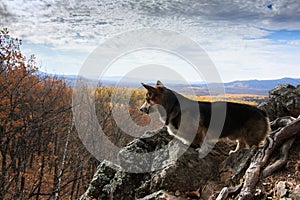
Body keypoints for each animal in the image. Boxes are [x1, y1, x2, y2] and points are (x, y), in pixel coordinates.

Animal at [140, 80, 270, 155]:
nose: (140, 109)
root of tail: (261, 111)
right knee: (240, 143)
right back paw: (234, 152)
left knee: (251, 145)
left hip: (251, 138)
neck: (172, 106)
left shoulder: (201, 131)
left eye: (147, 99)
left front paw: (199, 150)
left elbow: (202, 142)